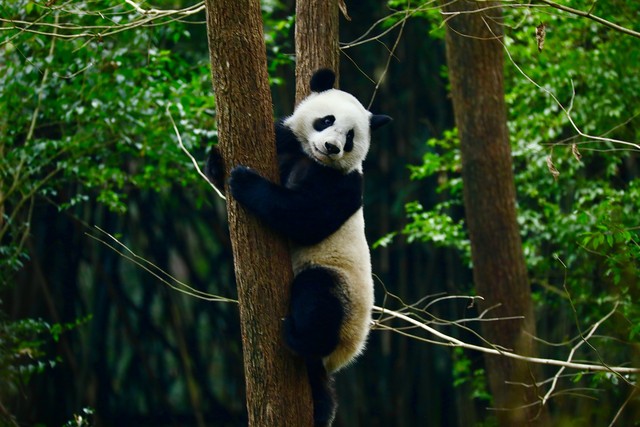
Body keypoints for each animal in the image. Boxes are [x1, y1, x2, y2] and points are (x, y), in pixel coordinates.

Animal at [208, 68, 392, 426]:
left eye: (350, 137)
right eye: (326, 120)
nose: (332, 147)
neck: (311, 160)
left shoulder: (344, 186)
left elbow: (304, 218)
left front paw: (245, 181)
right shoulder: (285, 144)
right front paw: (216, 160)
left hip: (343, 292)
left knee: (319, 297)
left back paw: (300, 338)